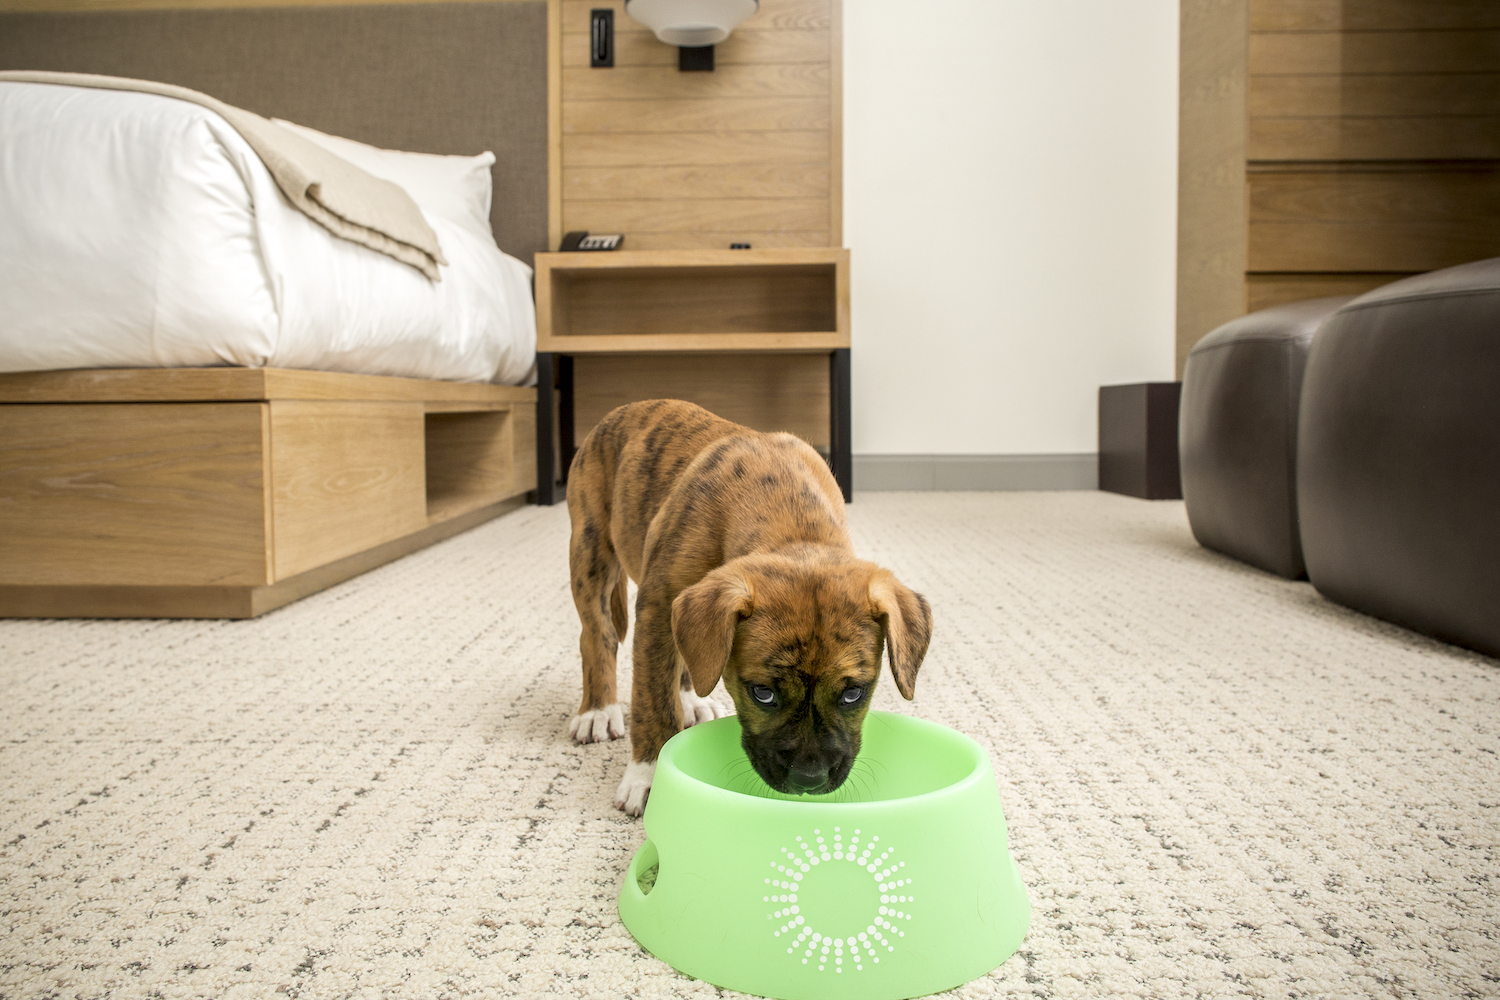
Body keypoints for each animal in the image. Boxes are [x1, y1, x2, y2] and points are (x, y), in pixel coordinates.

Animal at [564, 398, 930, 815]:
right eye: (762, 694)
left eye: (853, 694)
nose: (809, 779)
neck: (791, 520)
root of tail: (624, 409)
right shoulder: (657, 607)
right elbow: (653, 699)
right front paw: (649, 776)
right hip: (591, 549)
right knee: (598, 634)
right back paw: (597, 710)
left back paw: (690, 699)